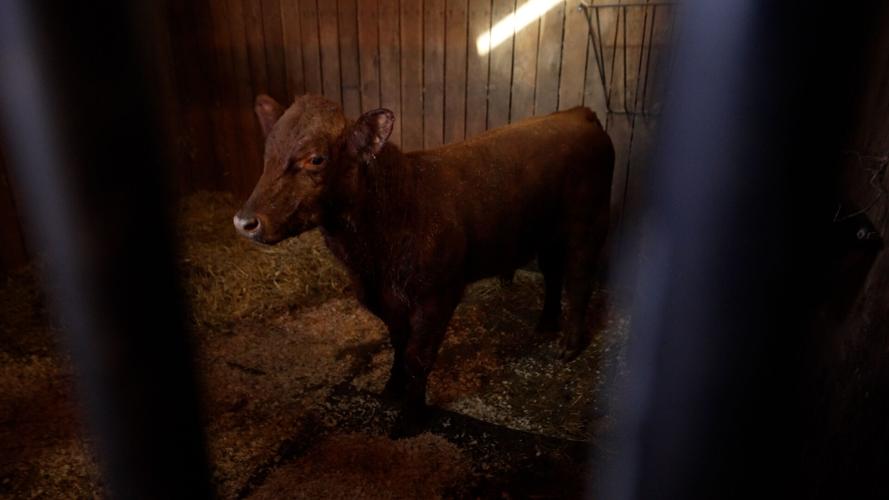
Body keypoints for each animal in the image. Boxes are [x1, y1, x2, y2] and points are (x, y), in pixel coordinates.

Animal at [234, 94, 615, 434]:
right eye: (268, 154)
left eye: (316, 159)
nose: (244, 221)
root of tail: (577, 113)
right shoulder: (385, 298)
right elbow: (398, 343)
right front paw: (392, 387)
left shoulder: (436, 295)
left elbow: (418, 356)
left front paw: (411, 418)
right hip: (546, 233)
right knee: (553, 273)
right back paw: (547, 323)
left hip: (588, 223)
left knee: (579, 280)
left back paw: (568, 344)